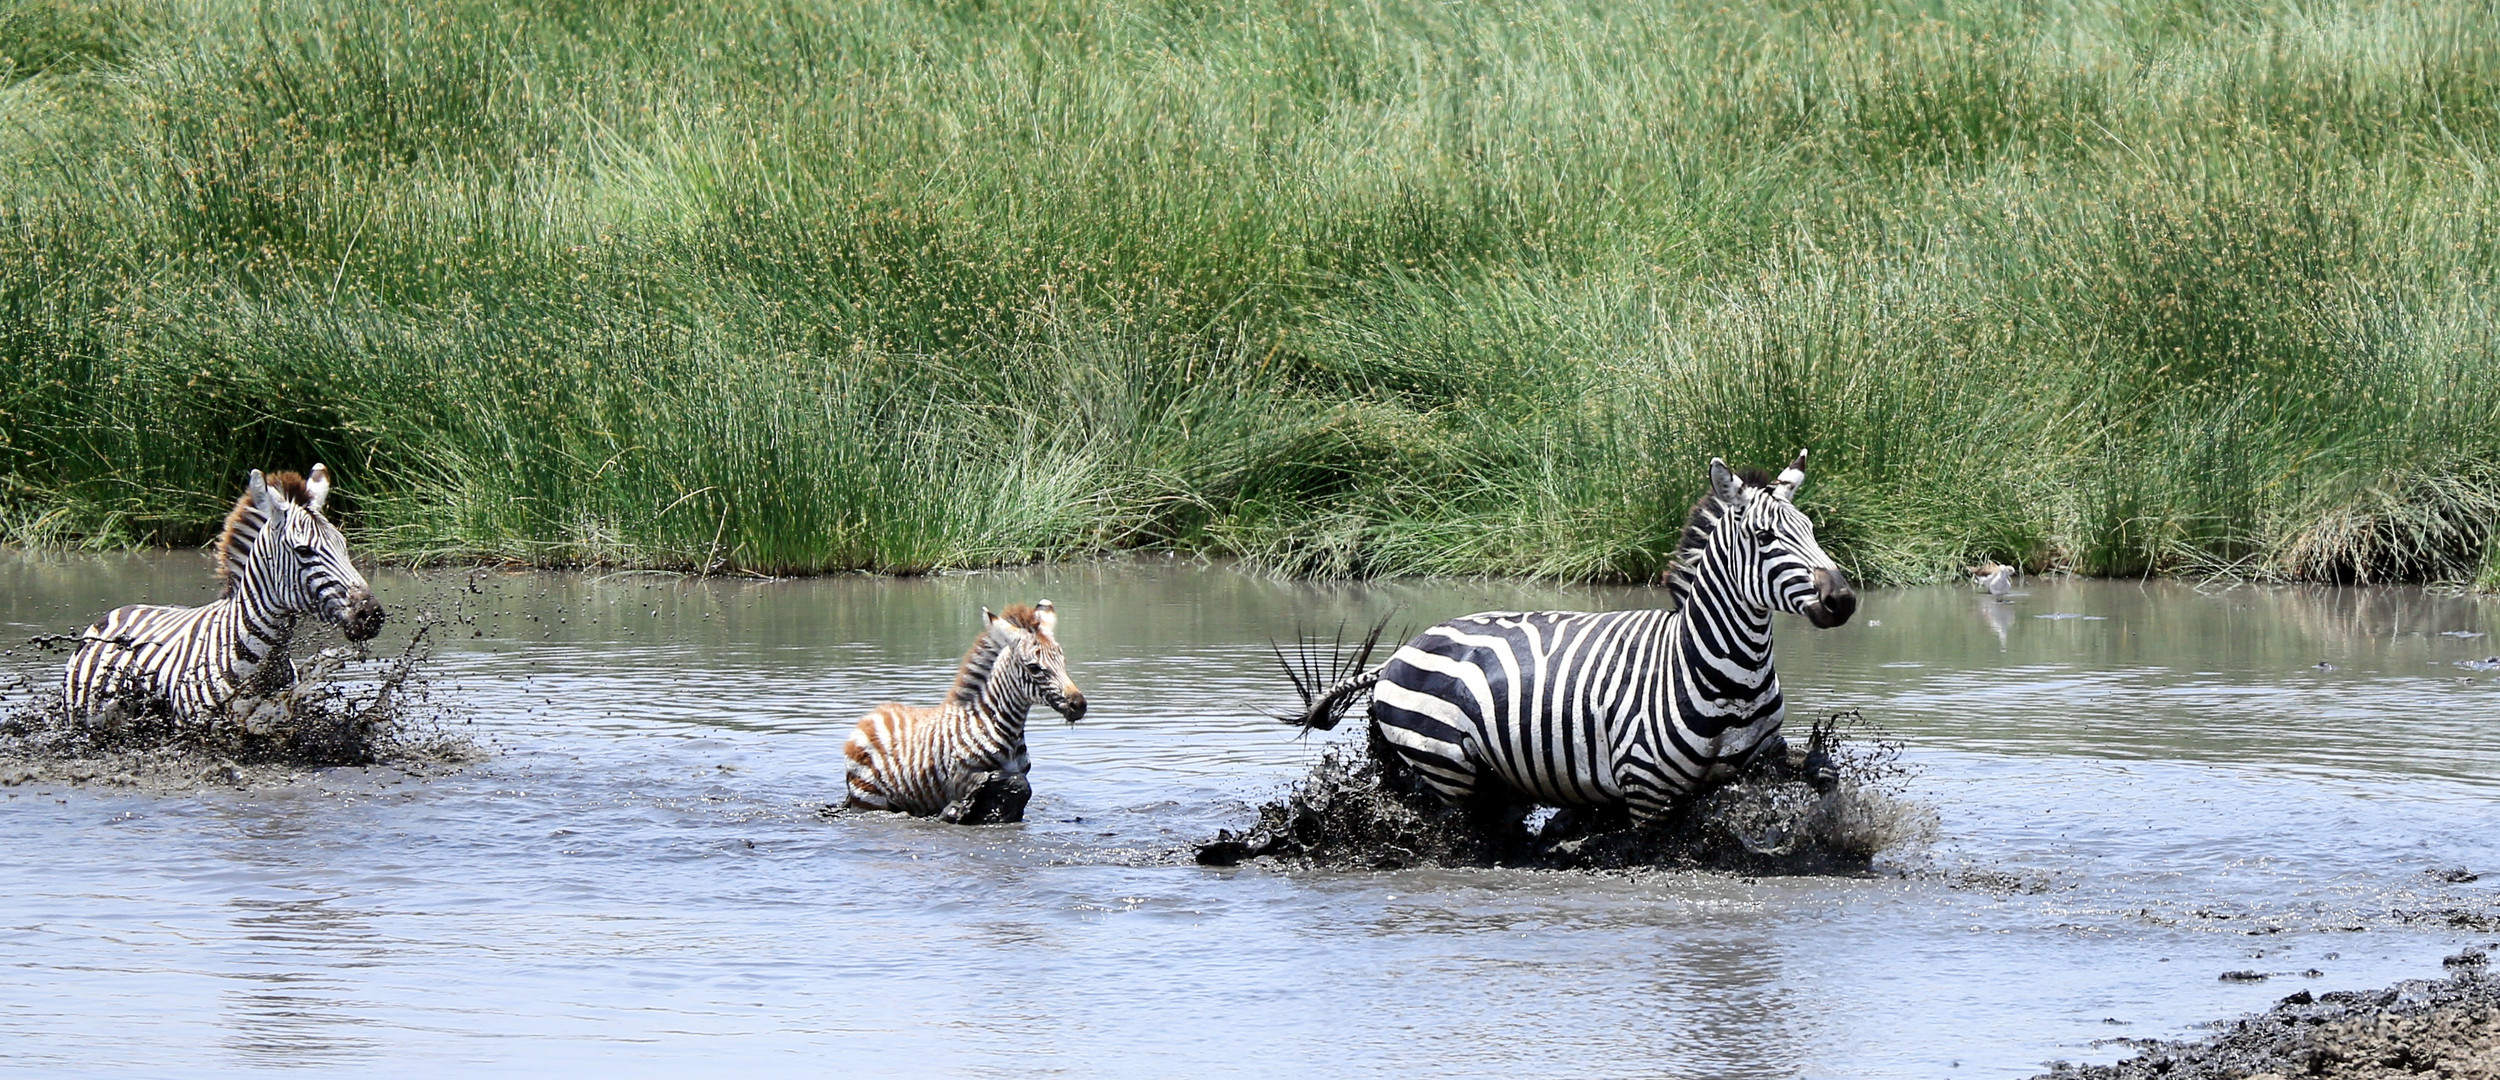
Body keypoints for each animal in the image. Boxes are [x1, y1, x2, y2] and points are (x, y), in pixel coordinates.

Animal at [845, 602, 1090, 825]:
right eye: (1034, 668)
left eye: (1063, 662)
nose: (1078, 704)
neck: (1000, 726)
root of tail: (870, 715)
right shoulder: (961, 778)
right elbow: (1007, 784)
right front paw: (962, 810)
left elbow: (1018, 790)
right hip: (870, 800)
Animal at [1290, 452, 1860, 825]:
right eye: (1765, 537)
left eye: (1812, 530)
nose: (1843, 600)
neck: (1726, 673)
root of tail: (1396, 657)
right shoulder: (1646, 791)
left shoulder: (1763, 755)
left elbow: (1826, 775)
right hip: (1445, 765)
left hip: (1488, 775)